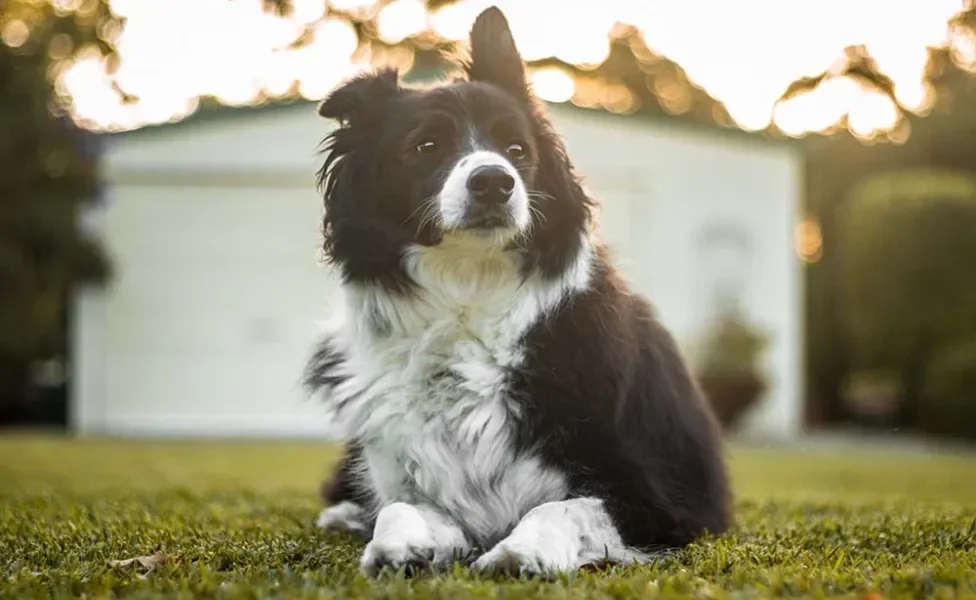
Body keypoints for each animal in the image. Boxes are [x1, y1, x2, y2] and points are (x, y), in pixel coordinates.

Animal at [304, 5, 732, 576]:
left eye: (516, 149)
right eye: (425, 146)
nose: (494, 181)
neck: (468, 293)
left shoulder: (658, 502)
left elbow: (562, 507)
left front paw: (520, 551)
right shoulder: (412, 478)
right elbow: (398, 505)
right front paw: (398, 545)